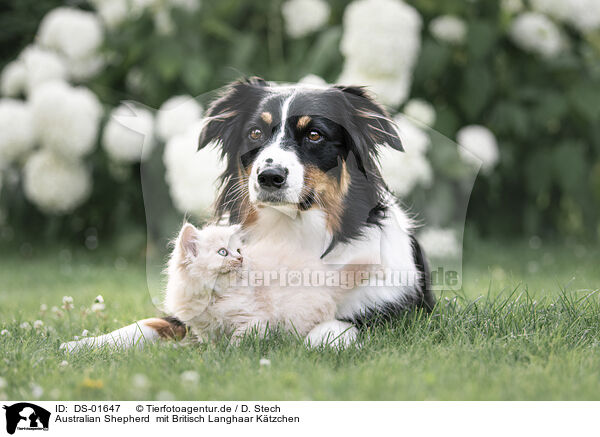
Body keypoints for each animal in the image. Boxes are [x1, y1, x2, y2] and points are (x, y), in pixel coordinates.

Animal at [164, 223, 340, 342]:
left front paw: (231, 353)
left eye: (238, 251)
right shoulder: (204, 327)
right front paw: (213, 353)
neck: (215, 297)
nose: (240, 259)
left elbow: (238, 341)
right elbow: (213, 343)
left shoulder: (253, 319)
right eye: (223, 252)